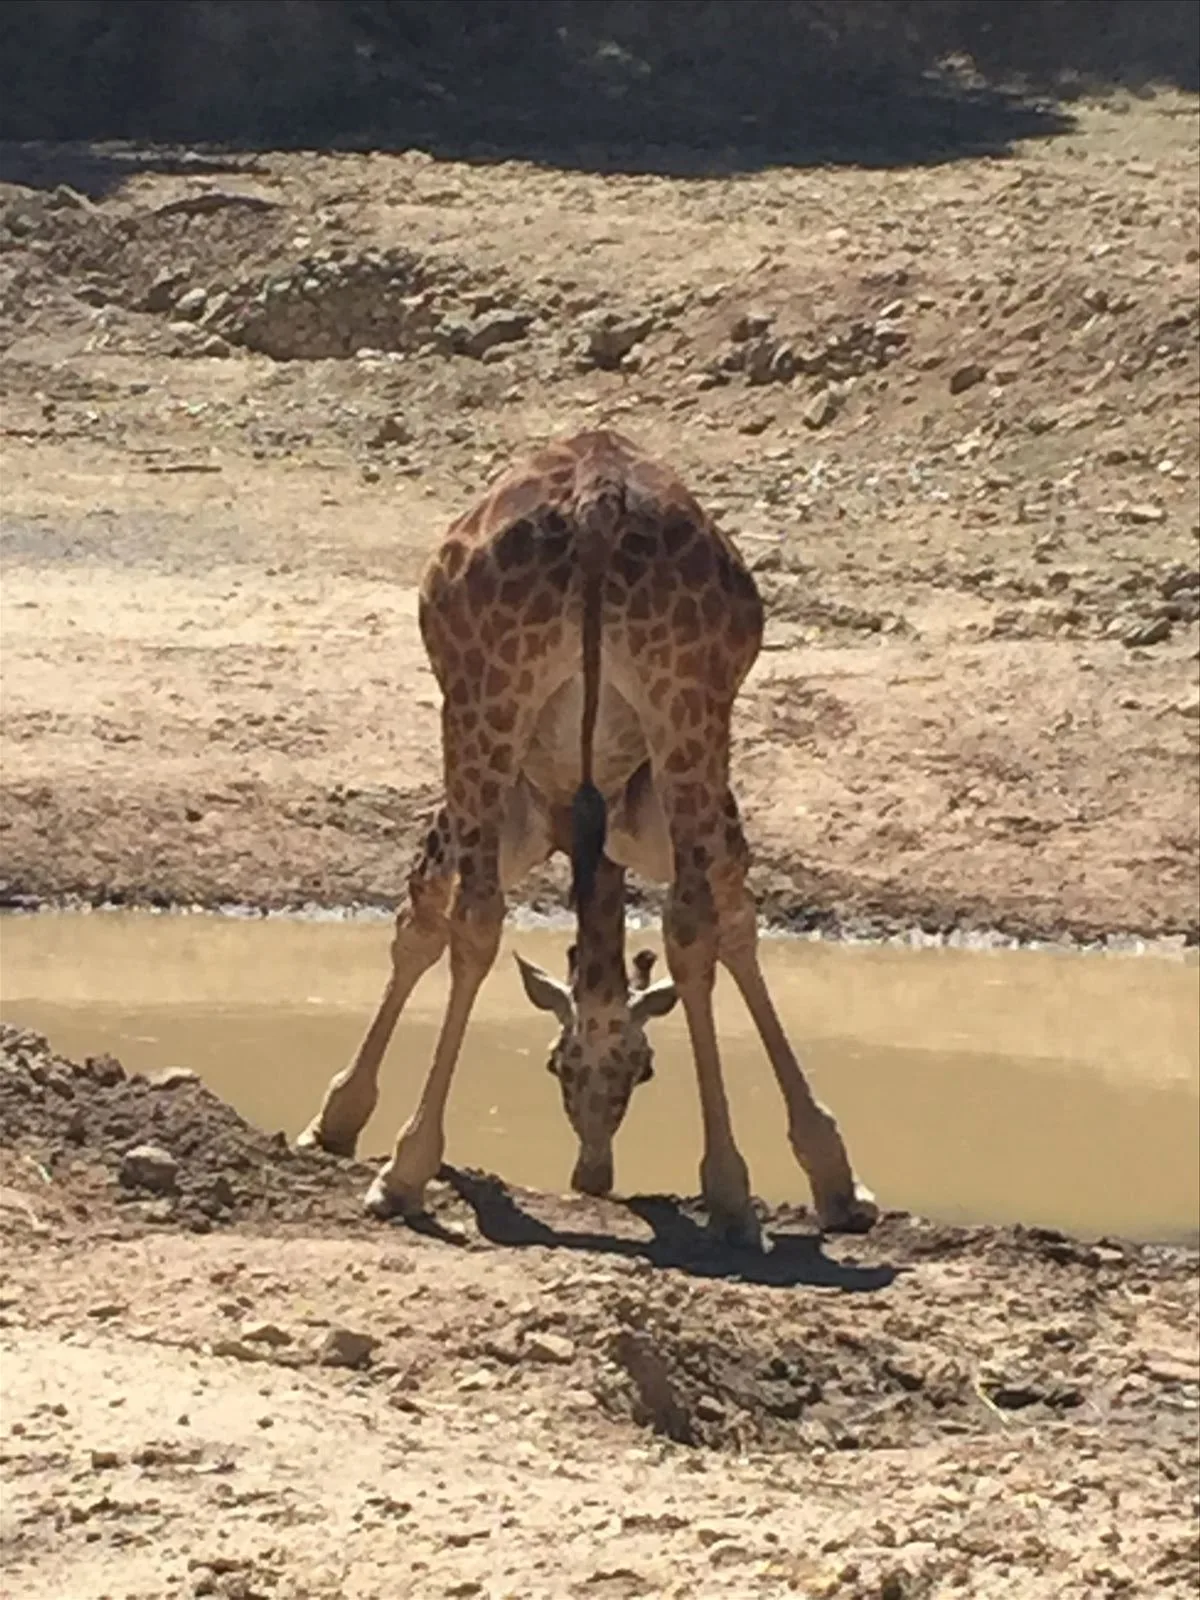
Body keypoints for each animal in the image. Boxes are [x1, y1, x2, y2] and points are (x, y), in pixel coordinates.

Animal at [299, 429, 876, 1245]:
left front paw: (338, 1119)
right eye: (560, 1066)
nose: (592, 1175)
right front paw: (832, 1177)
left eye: (641, 1070)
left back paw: (405, 1173)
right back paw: (730, 1193)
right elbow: (736, 928)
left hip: (484, 711)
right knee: (692, 924)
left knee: (477, 917)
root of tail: (596, 500)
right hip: (688, 723)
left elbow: (419, 920)